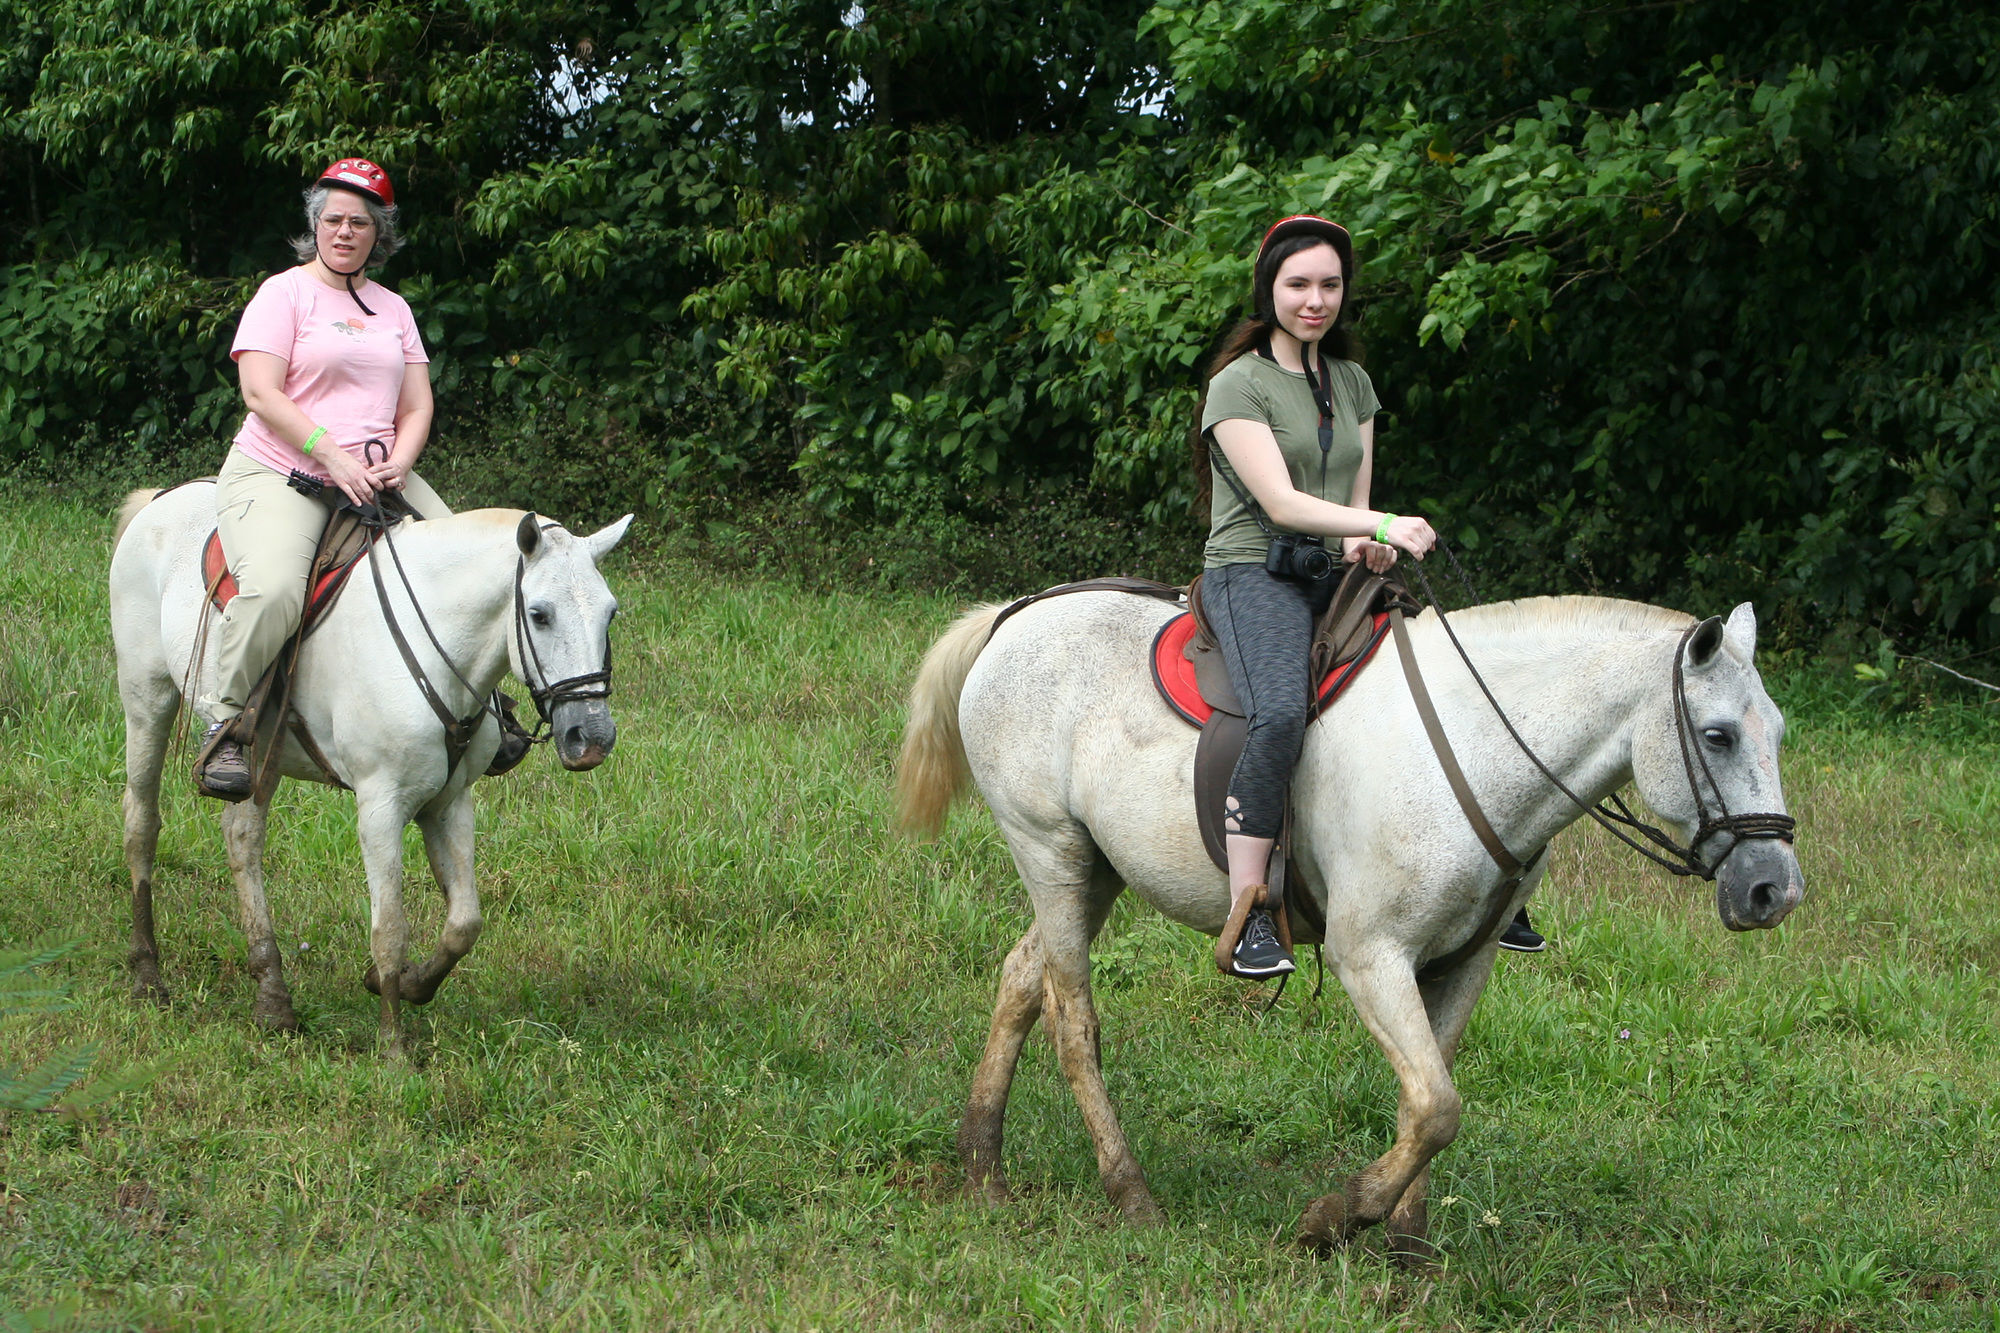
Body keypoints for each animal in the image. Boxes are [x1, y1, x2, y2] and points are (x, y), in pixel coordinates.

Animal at [105, 482, 632, 1056]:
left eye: (609, 614)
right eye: (539, 614)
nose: (591, 739)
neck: (433, 639)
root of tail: (163, 498)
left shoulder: (449, 802)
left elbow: (463, 923)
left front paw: (405, 984)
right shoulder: (380, 805)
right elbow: (390, 928)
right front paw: (393, 1046)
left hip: (261, 751)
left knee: (242, 838)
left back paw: (273, 998)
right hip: (147, 700)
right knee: (140, 823)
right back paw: (147, 975)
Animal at [900, 588, 1808, 1248]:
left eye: (1778, 730)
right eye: (1718, 735)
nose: (1776, 890)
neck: (1475, 746)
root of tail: (1014, 617)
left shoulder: (1465, 960)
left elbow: (1431, 1093)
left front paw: (1407, 1240)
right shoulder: (1370, 956)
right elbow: (1437, 1106)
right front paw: (1335, 1219)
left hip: (1097, 871)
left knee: (1024, 979)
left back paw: (982, 1163)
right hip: (1049, 850)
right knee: (1074, 1019)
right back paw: (1129, 1192)